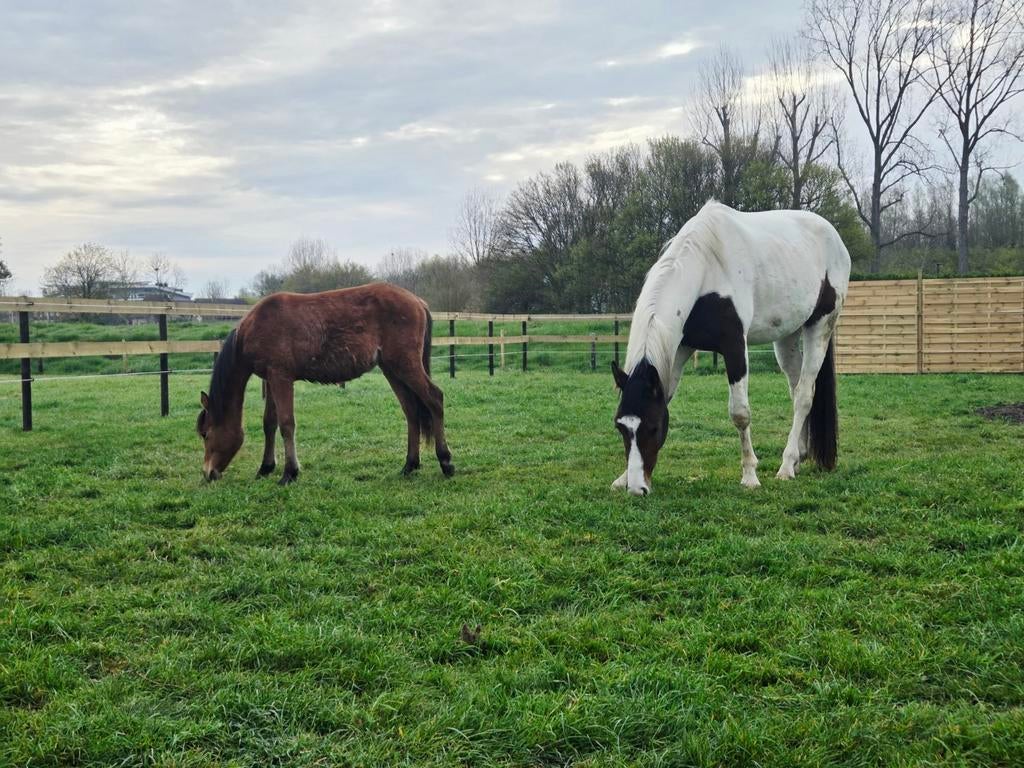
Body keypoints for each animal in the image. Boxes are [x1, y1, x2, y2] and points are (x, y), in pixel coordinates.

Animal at [196, 282, 454, 485]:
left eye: (206, 434)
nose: (208, 473)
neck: (256, 326)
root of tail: (418, 301)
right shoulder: (270, 379)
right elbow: (269, 423)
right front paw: (265, 468)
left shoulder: (281, 377)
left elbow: (286, 424)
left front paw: (290, 473)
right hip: (392, 369)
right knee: (411, 411)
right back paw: (409, 465)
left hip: (405, 365)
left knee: (435, 398)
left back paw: (446, 461)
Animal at [611, 200, 851, 495]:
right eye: (621, 427)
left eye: (654, 428)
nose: (637, 489)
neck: (705, 269)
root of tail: (833, 236)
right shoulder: (681, 347)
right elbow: (665, 397)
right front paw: (623, 477)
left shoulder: (735, 345)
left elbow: (740, 413)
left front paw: (750, 475)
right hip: (787, 335)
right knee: (796, 391)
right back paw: (798, 457)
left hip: (820, 325)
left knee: (805, 395)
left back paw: (785, 466)